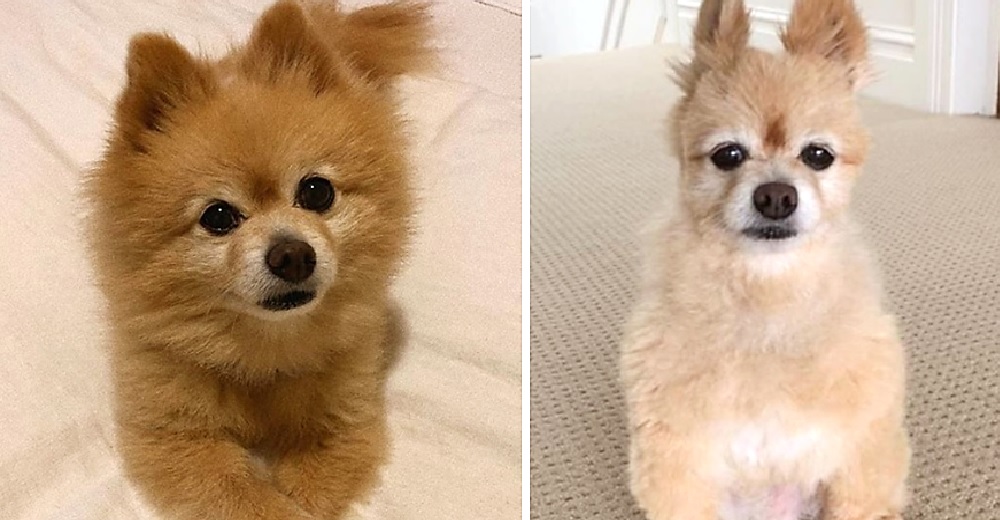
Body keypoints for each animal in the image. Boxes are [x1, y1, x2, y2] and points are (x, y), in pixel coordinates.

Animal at [85, 2, 430, 516]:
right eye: (218, 216)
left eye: (316, 191)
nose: (292, 255)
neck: (265, 353)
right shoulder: (175, 435)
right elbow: (242, 497)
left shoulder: (345, 417)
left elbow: (316, 486)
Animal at [624, 1, 916, 520]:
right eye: (728, 154)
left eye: (818, 155)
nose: (776, 196)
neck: (767, 299)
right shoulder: (678, 463)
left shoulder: (860, 455)